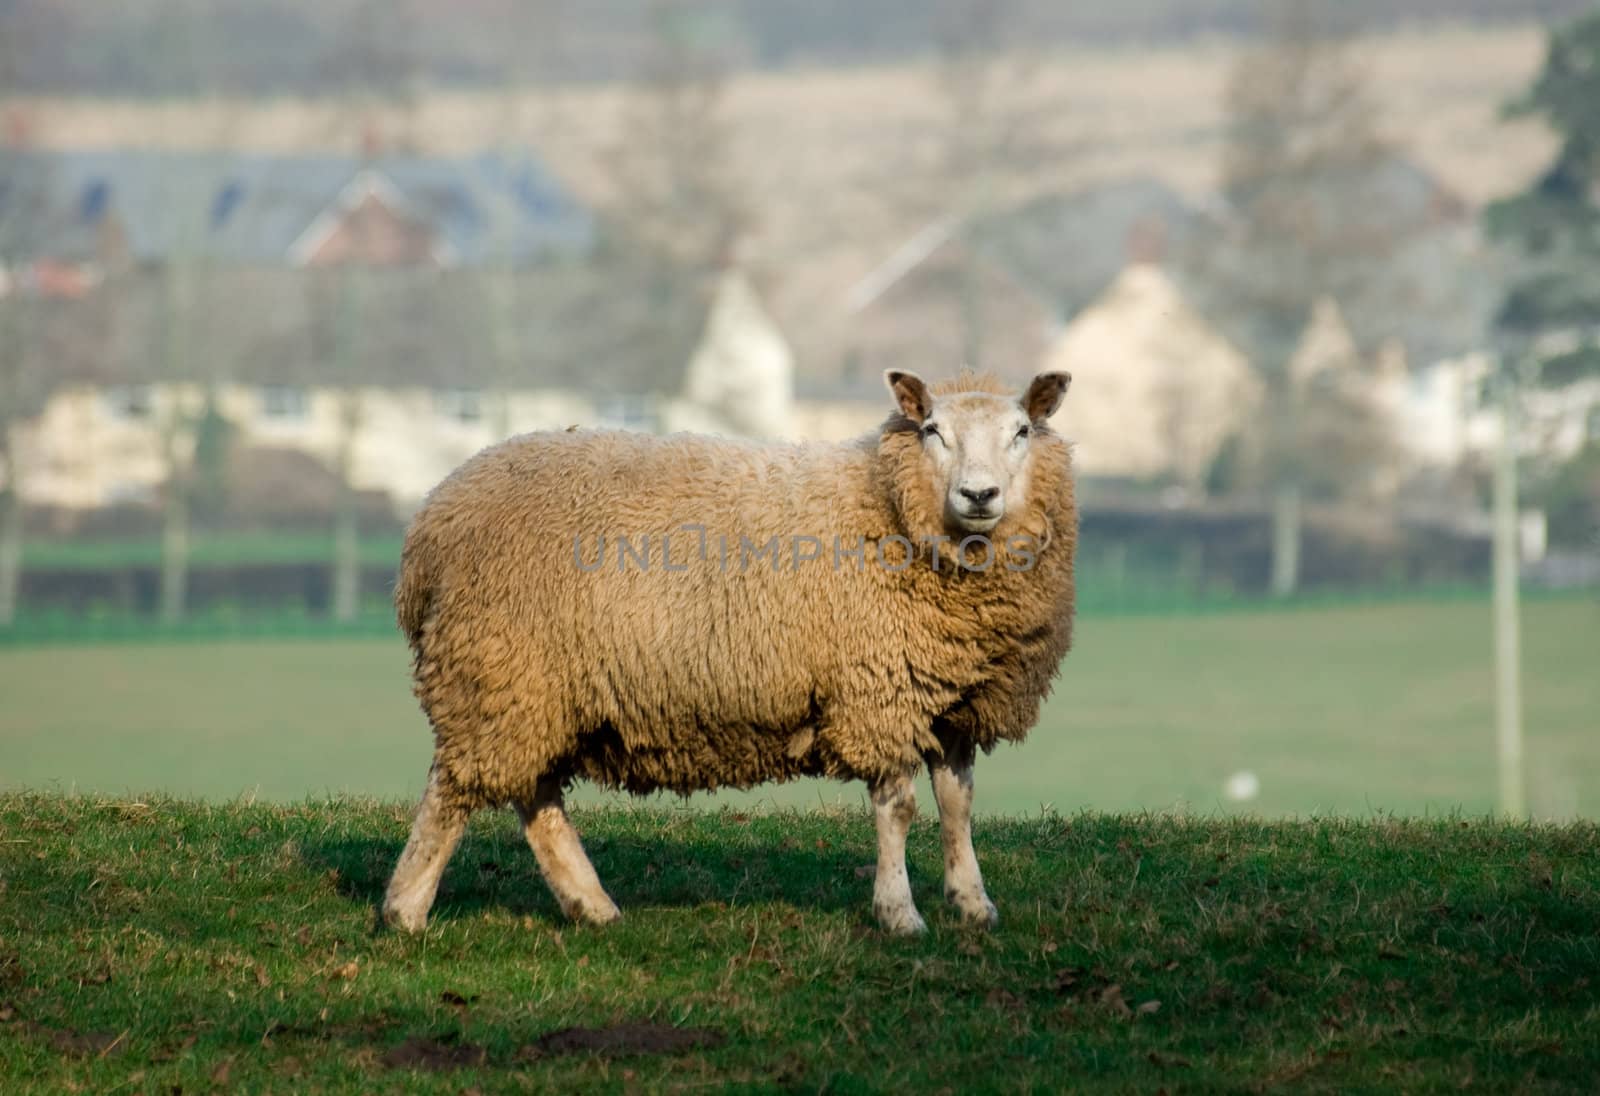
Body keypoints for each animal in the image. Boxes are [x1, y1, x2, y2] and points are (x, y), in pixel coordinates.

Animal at [379, 368, 1075, 934]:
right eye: (932, 430)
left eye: (1021, 431)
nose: (979, 496)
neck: (887, 506)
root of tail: (430, 522)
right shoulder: (877, 690)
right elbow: (899, 809)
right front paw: (899, 914)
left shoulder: (956, 700)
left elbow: (958, 805)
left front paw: (973, 904)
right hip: (496, 665)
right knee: (454, 789)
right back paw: (405, 911)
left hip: (536, 687)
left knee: (536, 794)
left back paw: (591, 905)